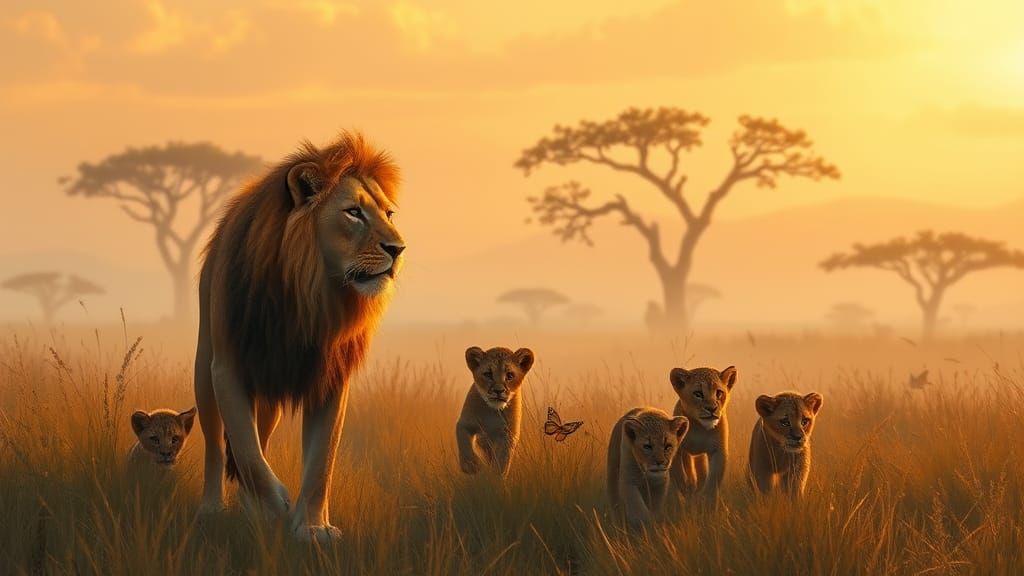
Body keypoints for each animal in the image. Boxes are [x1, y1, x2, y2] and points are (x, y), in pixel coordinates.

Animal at [193, 131, 405, 543]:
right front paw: (277, 503)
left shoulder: (331, 376)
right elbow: (246, 452)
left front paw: (311, 527)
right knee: (215, 444)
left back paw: (251, 510)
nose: (398, 249)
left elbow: (321, 459)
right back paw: (213, 508)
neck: (311, 297)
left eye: (388, 214)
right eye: (353, 212)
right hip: (204, 373)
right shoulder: (228, 368)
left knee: (260, 436)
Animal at [455, 346, 535, 477]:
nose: (498, 391)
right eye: (488, 374)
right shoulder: (465, 423)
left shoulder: (508, 434)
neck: (493, 411)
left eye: (510, 375)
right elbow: (463, 442)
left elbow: (503, 459)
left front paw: (496, 477)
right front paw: (471, 466)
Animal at [668, 366, 736, 502]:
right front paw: (686, 491)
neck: (700, 427)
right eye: (698, 394)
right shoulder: (678, 450)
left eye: (719, 393)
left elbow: (713, 481)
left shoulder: (718, 450)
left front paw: (707, 500)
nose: (711, 408)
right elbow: (679, 474)